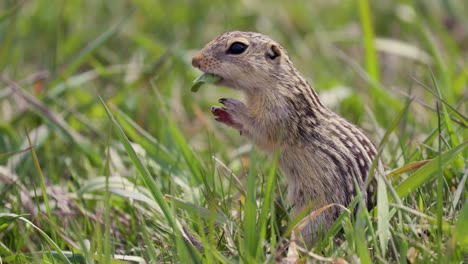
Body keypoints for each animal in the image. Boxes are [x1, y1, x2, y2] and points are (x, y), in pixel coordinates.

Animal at [190, 30, 384, 243]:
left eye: (237, 47)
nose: (195, 60)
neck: (276, 84)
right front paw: (221, 113)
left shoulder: (281, 114)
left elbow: (262, 131)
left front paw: (234, 108)